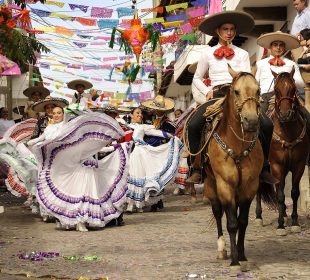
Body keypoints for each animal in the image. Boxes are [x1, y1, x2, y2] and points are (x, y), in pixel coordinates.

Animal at [203, 67, 276, 270]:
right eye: (236, 91)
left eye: (258, 91)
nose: (251, 121)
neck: (236, 146)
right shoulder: (225, 185)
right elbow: (231, 223)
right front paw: (235, 261)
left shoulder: (249, 186)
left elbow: (242, 222)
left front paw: (242, 256)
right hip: (210, 184)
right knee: (218, 212)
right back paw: (222, 249)